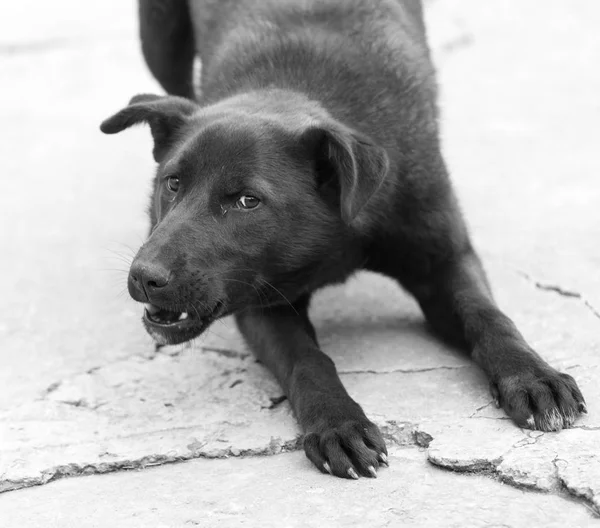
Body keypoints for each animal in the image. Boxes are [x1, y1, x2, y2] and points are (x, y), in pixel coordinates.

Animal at [102, 0, 584, 478]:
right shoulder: (260, 300)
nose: (145, 276)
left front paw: (533, 376)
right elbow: (307, 358)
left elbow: (487, 315)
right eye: (172, 183)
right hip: (159, 38)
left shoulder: (444, 256)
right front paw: (338, 423)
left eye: (247, 201)